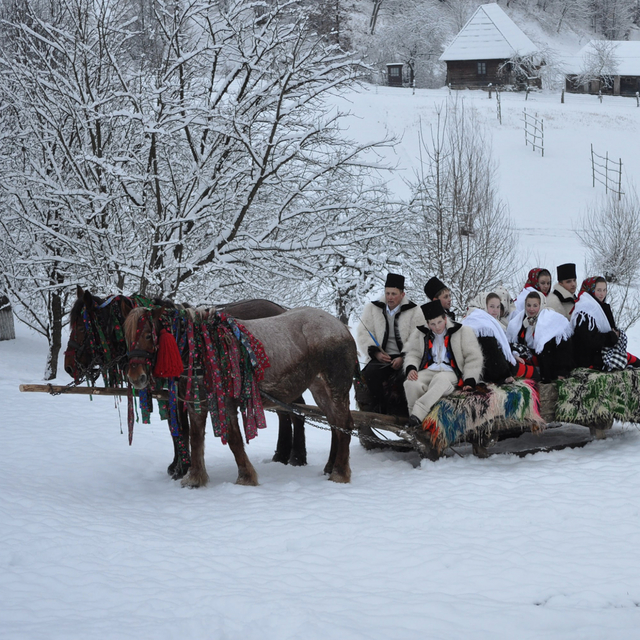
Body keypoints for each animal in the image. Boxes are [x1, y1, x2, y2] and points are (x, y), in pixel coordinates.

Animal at [122, 304, 358, 484]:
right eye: (126, 337)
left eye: (147, 335)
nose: (135, 377)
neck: (200, 349)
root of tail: (341, 327)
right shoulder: (196, 403)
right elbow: (196, 438)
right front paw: (195, 478)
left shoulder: (225, 402)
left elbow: (234, 440)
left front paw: (246, 477)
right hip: (319, 389)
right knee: (335, 425)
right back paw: (330, 467)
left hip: (336, 387)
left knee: (344, 425)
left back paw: (339, 473)